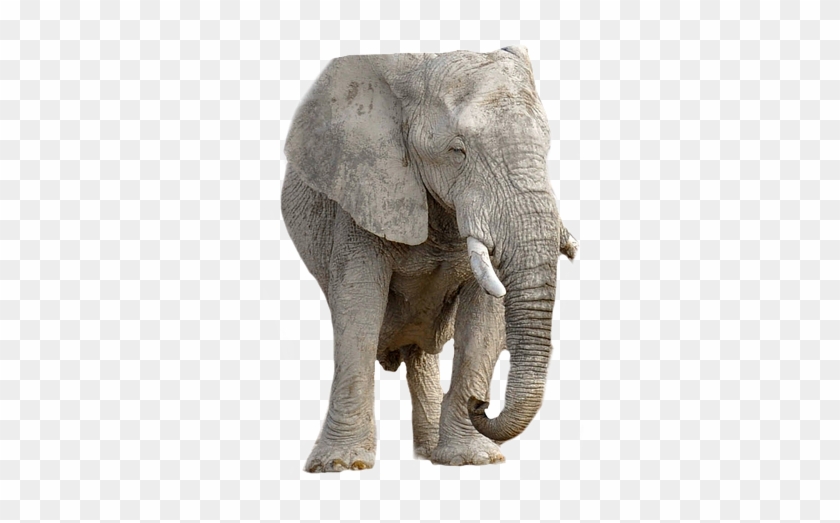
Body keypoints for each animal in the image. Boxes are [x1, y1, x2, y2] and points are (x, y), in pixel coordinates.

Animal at [281, 46, 578, 472]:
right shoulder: (362, 187)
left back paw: (430, 452)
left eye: (546, 148)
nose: (482, 403)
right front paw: (339, 465)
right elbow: (359, 305)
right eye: (457, 151)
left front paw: (473, 459)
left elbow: (484, 316)